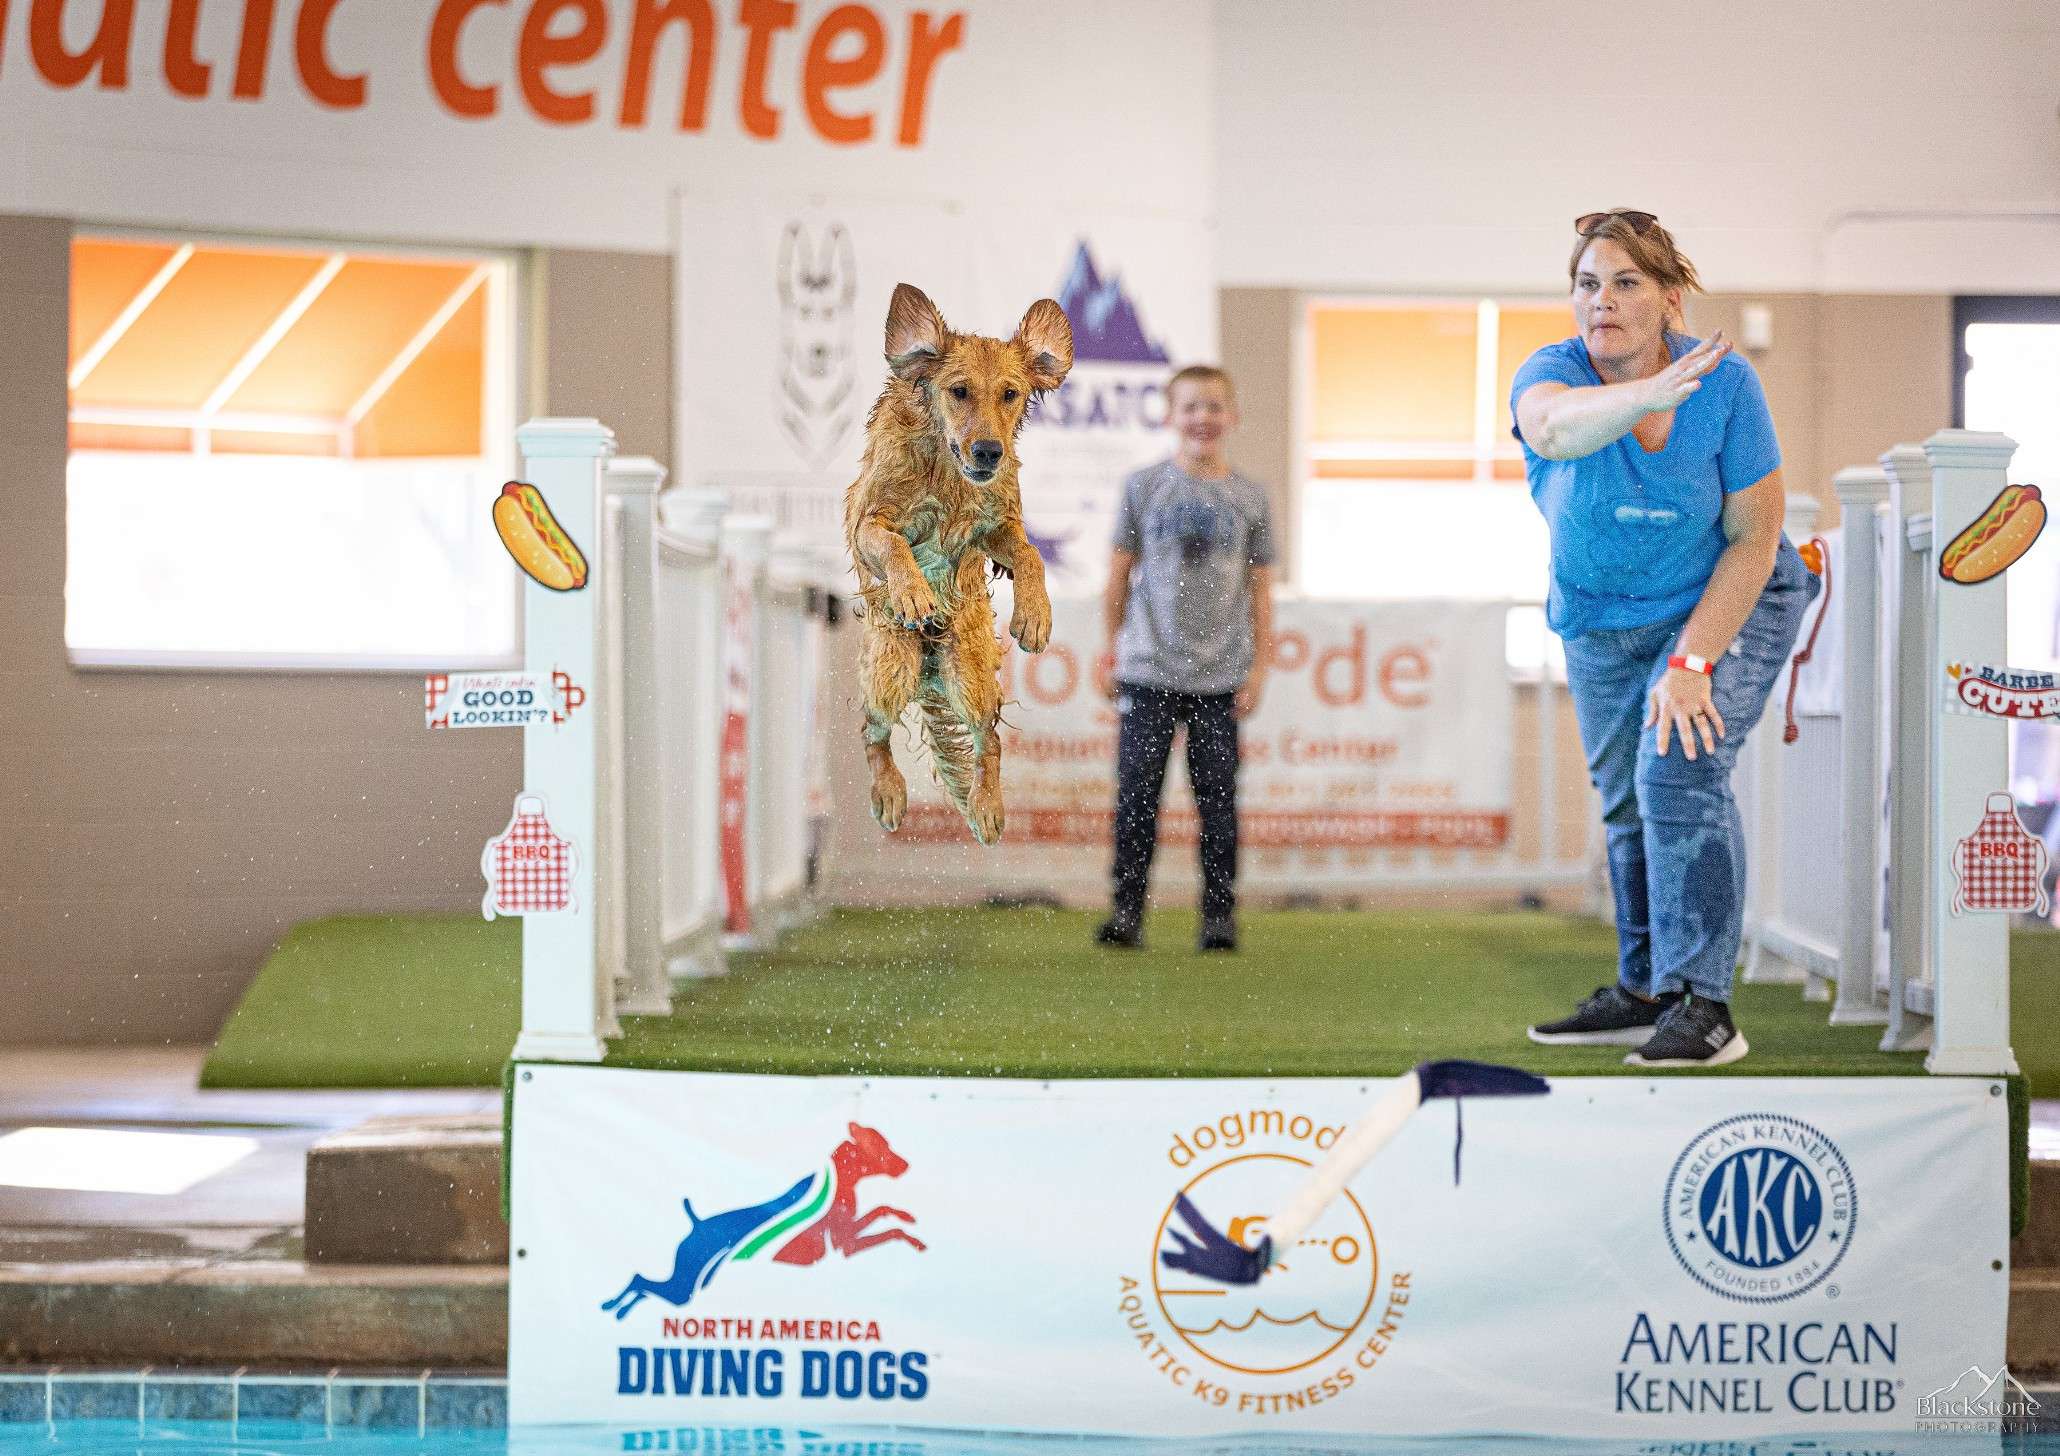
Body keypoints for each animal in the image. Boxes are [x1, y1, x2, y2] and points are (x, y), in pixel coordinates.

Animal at [844, 282, 1079, 844]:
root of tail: (930, 665)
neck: (945, 470)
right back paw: (888, 794)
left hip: (970, 675)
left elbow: (1030, 553)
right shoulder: (869, 523)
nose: (990, 451)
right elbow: (894, 545)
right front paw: (913, 592)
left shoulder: (994, 525)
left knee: (987, 740)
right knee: (871, 730)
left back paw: (987, 807)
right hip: (892, 667)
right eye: (959, 391)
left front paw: (1034, 615)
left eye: (1010, 393)